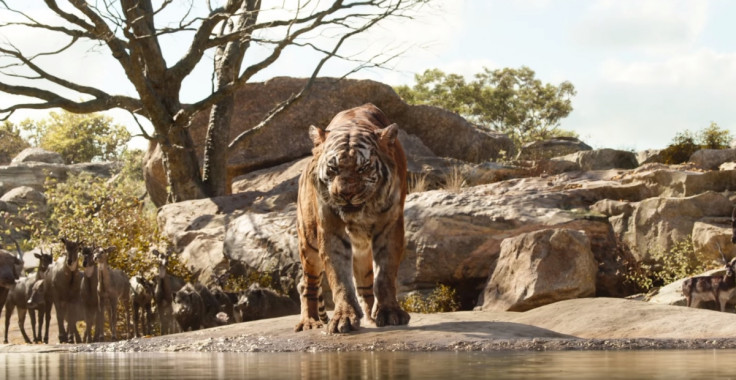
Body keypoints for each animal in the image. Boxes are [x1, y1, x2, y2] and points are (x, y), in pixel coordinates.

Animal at [294, 103, 412, 332]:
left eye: (363, 168)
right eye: (333, 168)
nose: (345, 194)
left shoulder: (390, 226)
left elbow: (384, 275)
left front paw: (389, 312)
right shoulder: (330, 228)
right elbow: (339, 278)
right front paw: (343, 317)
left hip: (361, 251)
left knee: (365, 283)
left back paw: (371, 316)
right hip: (309, 242)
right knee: (306, 283)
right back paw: (309, 322)